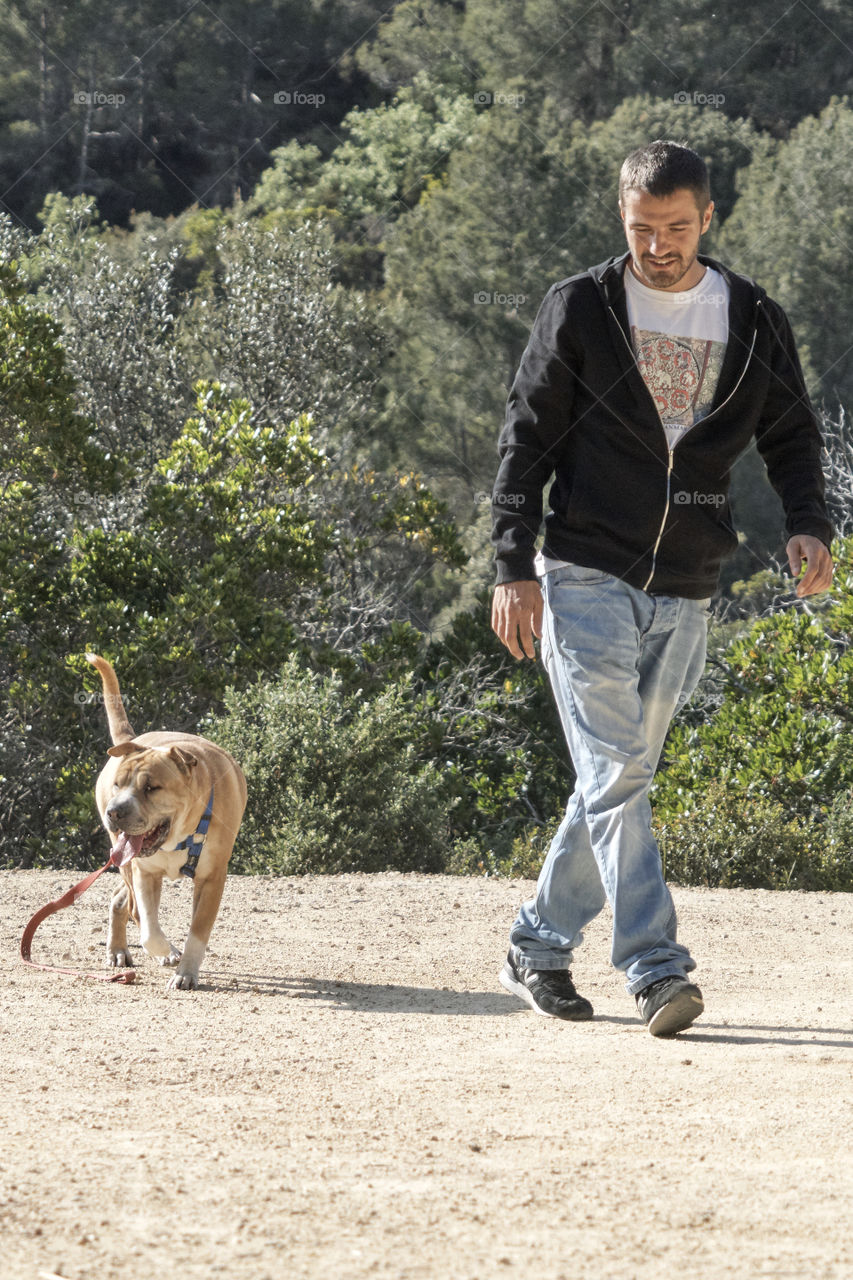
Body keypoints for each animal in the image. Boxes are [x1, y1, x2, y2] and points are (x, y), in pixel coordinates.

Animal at [86, 650, 244, 988]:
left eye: (151, 787)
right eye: (118, 784)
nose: (114, 811)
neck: (182, 833)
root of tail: (137, 738)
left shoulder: (213, 878)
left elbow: (198, 931)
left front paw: (186, 973)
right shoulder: (145, 873)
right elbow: (148, 928)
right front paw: (167, 952)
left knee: (121, 898)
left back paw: (121, 950)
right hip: (127, 862)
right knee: (130, 905)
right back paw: (122, 951)